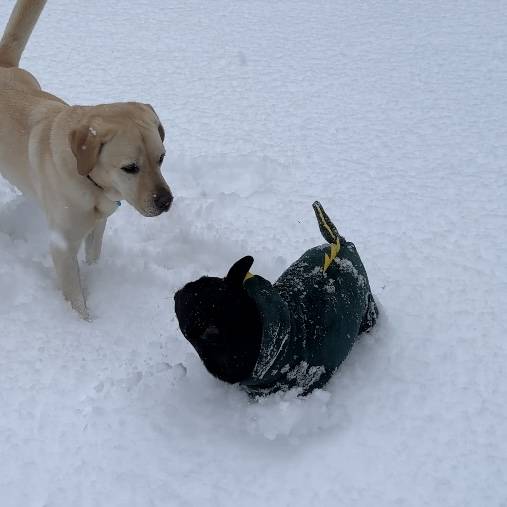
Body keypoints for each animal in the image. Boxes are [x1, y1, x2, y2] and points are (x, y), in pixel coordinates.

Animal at [0, 0, 173, 320]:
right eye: (130, 168)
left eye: (162, 158)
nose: (166, 201)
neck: (88, 181)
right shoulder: (62, 245)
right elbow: (76, 301)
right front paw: (84, 324)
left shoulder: (98, 224)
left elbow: (93, 257)